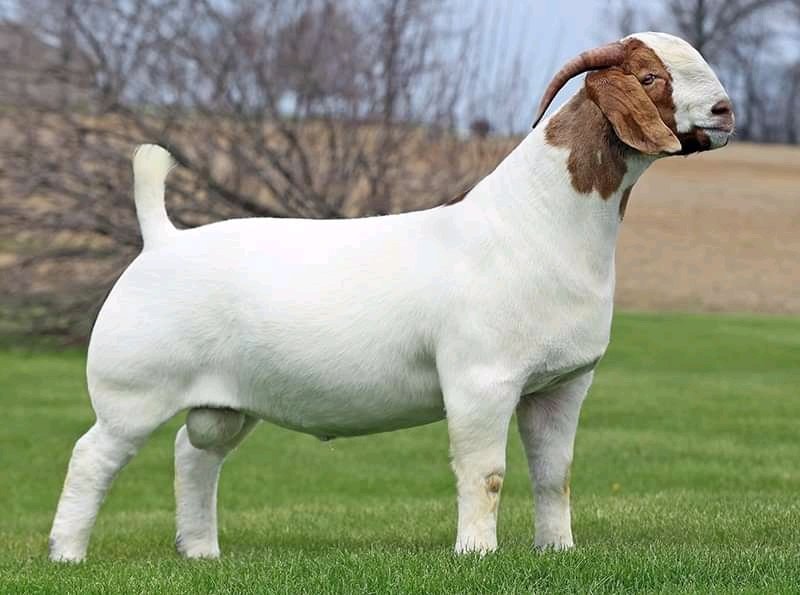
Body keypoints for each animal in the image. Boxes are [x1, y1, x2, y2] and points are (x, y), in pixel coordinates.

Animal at [49, 32, 734, 562]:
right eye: (650, 76)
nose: (725, 110)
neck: (533, 222)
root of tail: (161, 240)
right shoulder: (480, 380)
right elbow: (486, 473)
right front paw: (476, 554)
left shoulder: (562, 384)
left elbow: (554, 474)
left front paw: (557, 551)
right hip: (132, 391)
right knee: (91, 458)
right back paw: (67, 555)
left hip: (224, 402)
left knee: (194, 456)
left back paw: (201, 554)